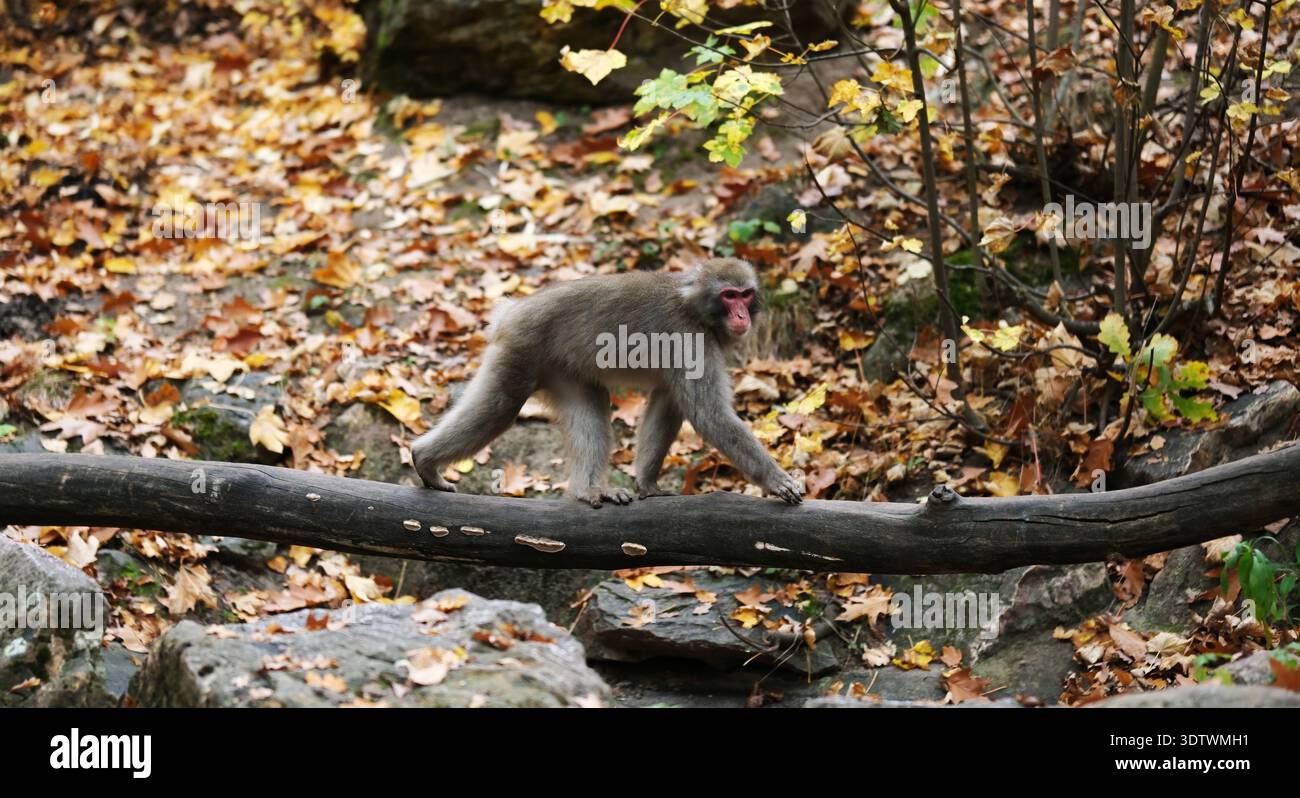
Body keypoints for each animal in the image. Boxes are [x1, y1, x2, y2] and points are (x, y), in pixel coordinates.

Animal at [410, 257, 805, 508]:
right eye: (729, 295)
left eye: (745, 294)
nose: (741, 315)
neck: (694, 308)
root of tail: (511, 310)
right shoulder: (690, 339)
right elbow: (711, 416)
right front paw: (777, 479)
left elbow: (668, 402)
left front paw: (647, 484)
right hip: (520, 349)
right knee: (499, 406)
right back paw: (424, 460)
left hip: (563, 371)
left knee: (591, 403)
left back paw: (587, 490)